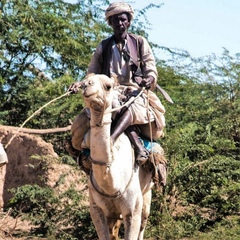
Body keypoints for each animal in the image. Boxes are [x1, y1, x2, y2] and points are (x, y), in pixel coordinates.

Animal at [79, 73, 154, 240]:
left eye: (108, 86)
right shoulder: (96, 209)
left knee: (143, 223)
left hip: (147, 195)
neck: (112, 185)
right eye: (83, 82)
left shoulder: (133, 209)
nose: (87, 85)